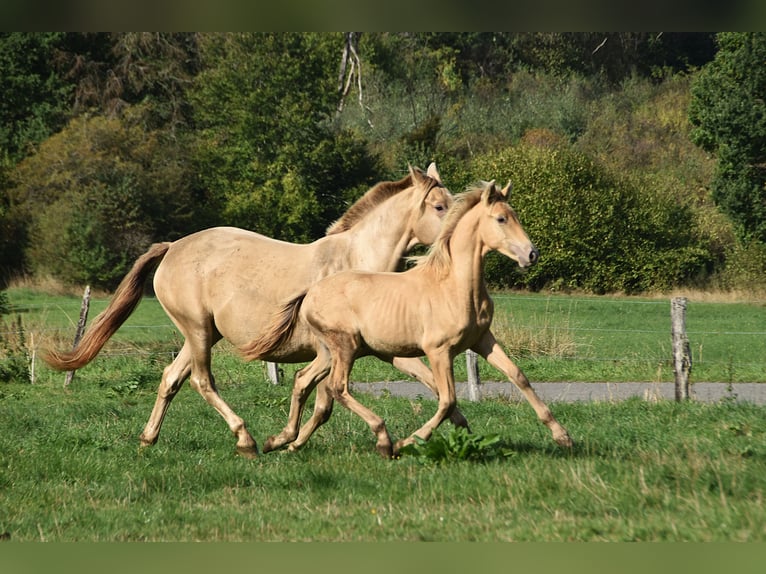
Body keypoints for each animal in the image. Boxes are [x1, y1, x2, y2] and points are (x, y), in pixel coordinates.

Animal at [42, 164, 469, 457]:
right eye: (439, 205)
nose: (459, 235)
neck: (354, 265)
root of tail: (173, 246)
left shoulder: (383, 349)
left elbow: (431, 385)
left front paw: (457, 429)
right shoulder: (334, 351)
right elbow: (322, 398)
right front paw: (288, 441)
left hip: (199, 335)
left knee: (170, 379)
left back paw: (148, 439)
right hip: (198, 332)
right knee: (202, 382)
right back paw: (245, 439)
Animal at [242, 181, 573, 458]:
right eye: (501, 219)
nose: (531, 254)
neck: (454, 285)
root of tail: (311, 291)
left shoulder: (482, 340)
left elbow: (518, 376)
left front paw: (563, 437)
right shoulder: (438, 350)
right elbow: (447, 399)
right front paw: (409, 442)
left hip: (331, 350)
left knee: (303, 379)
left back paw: (284, 441)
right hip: (346, 346)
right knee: (338, 387)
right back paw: (383, 440)